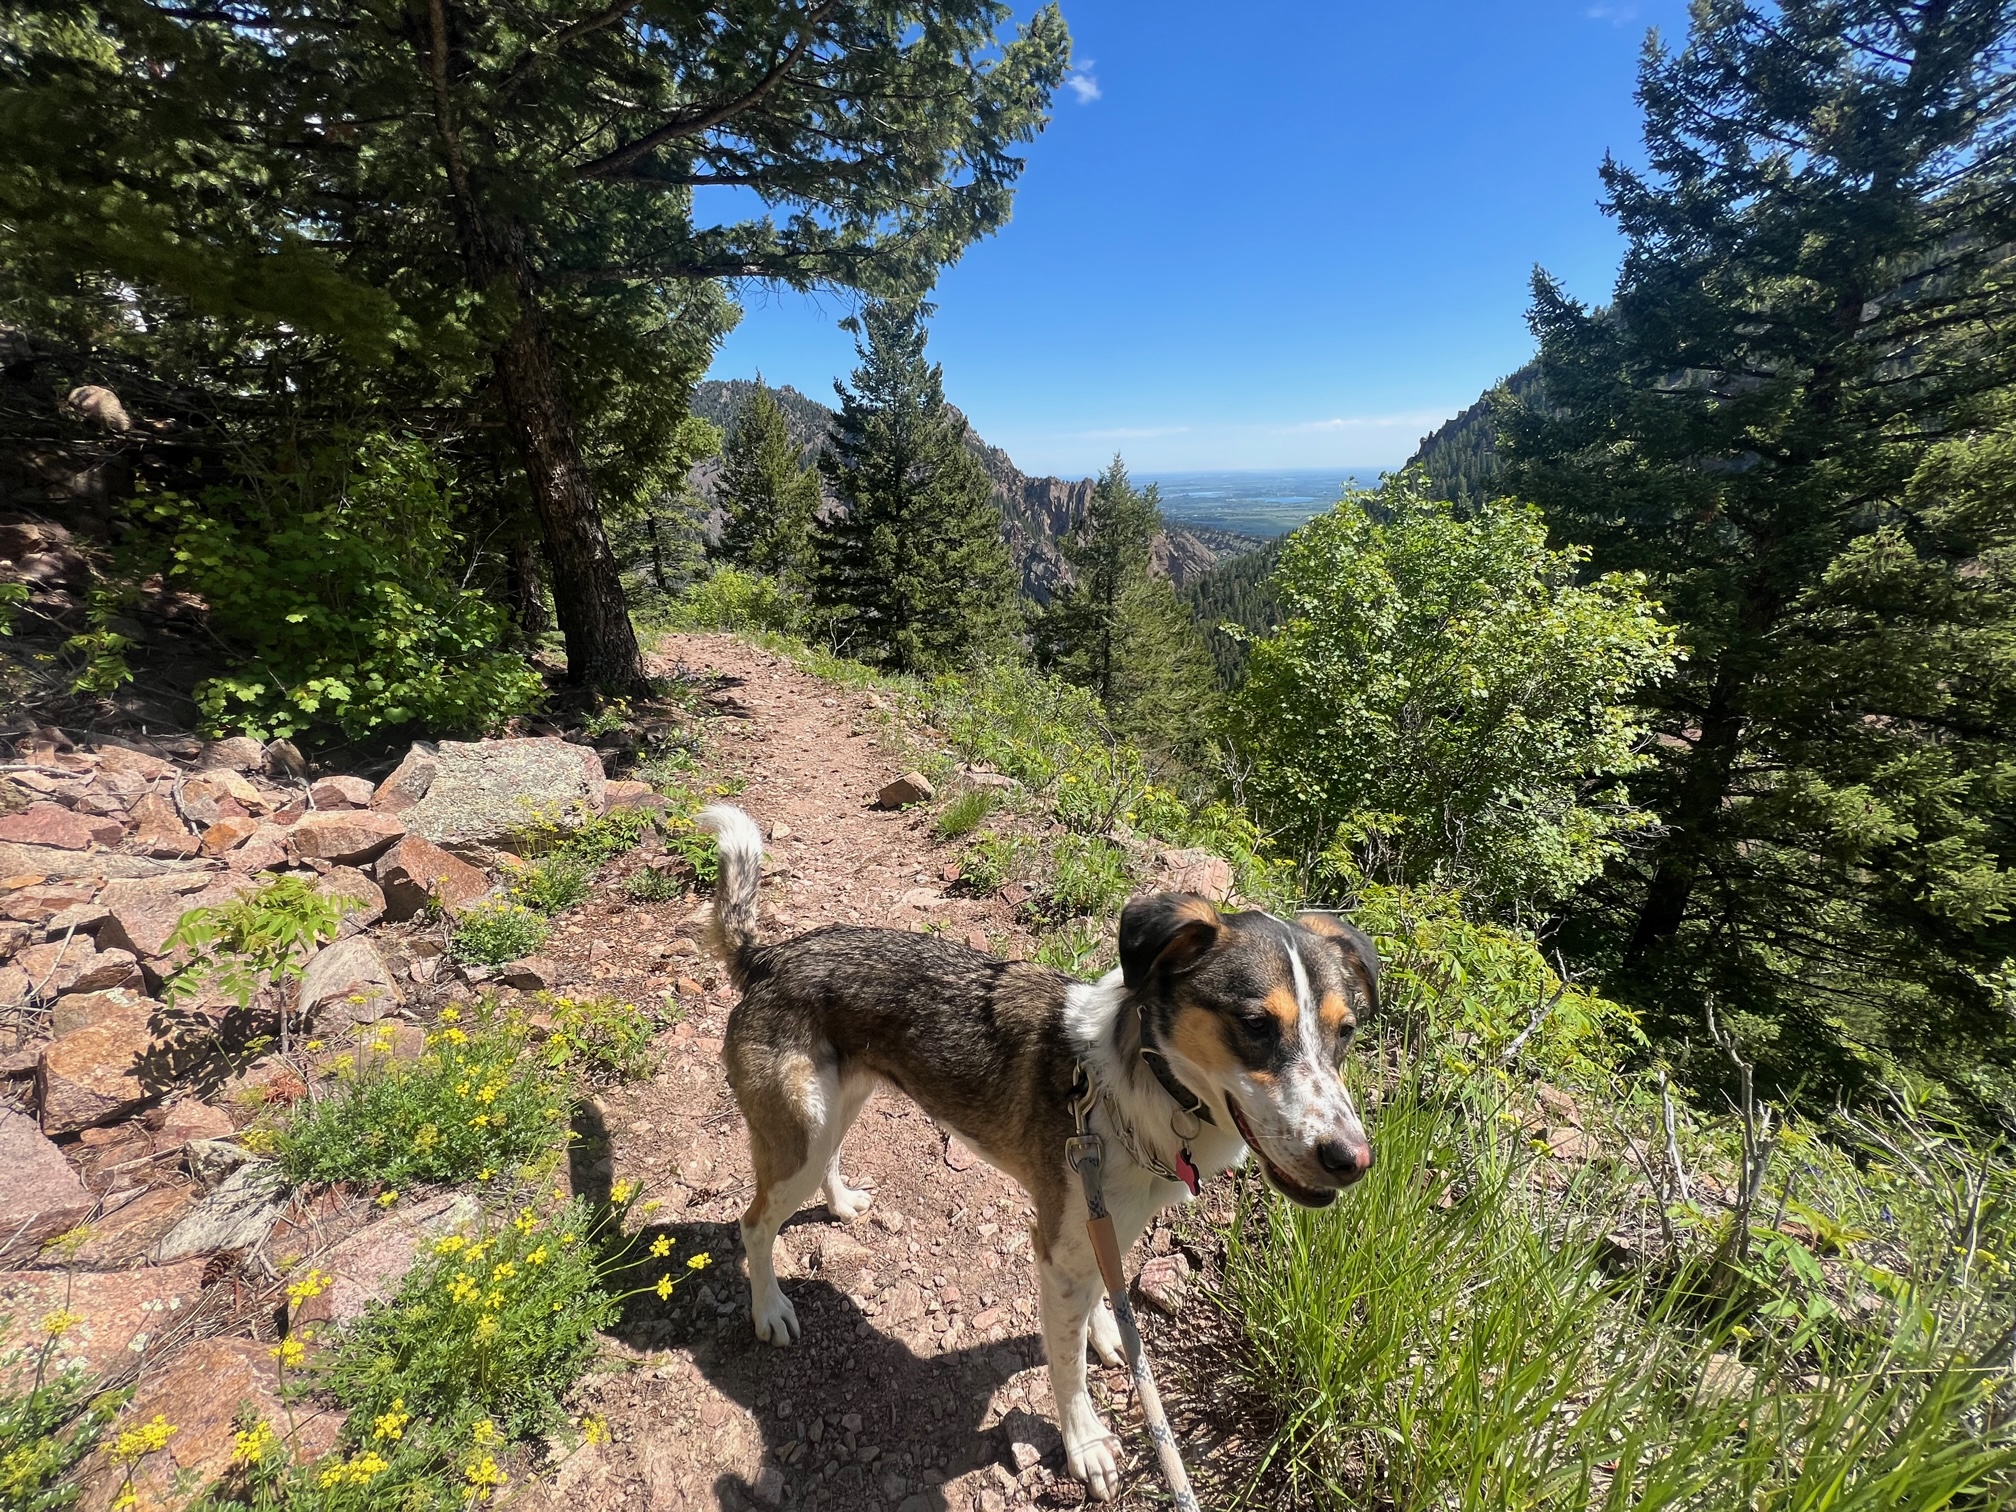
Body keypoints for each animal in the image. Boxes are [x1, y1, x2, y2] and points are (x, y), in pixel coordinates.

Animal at [693, 810, 1370, 1499]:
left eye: (1348, 1031)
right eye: (1256, 1024)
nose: (1352, 1160)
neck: (1144, 1083)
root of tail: (769, 957)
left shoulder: (1103, 1227)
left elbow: (1099, 1299)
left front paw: (1108, 1334)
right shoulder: (1058, 1250)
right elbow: (1067, 1366)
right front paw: (1086, 1444)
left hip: (836, 1107)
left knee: (822, 1163)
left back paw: (841, 1204)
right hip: (799, 1131)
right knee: (754, 1224)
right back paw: (770, 1309)